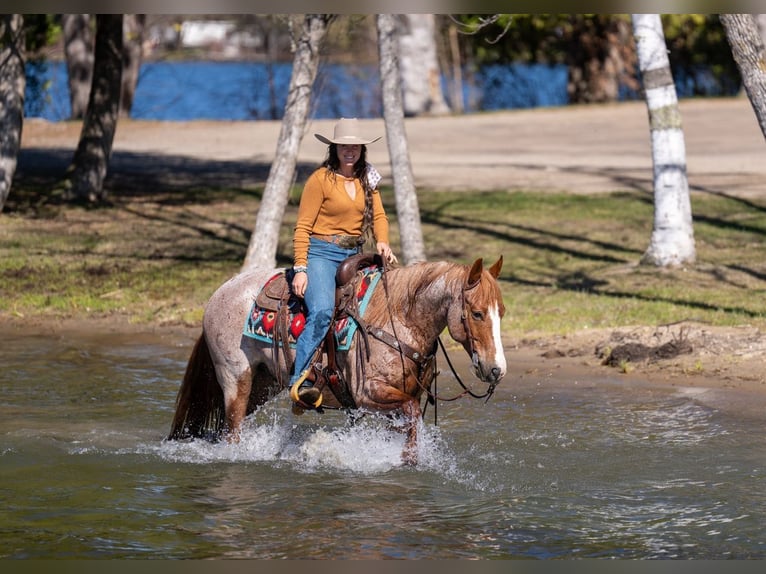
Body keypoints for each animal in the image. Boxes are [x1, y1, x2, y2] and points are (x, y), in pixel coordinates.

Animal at [168, 256, 507, 465]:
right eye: (477, 313)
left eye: (500, 312)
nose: (496, 370)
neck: (398, 317)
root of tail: (220, 292)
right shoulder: (368, 394)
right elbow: (412, 413)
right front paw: (408, 459)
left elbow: (407, 421)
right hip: (235, 378)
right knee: (233, 431)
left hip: (262, 384)